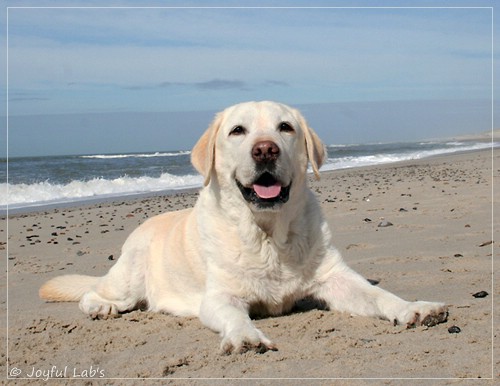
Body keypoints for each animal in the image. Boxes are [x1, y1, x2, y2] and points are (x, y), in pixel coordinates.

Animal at [38, 100, 446, 352]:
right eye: (238, 131)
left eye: (285, 127)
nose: (265, 149)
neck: (267, 235)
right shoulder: (220, 296)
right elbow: (234, 315)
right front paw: (244, 335)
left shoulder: (336, 279)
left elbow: (380, 296)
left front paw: (414, 308)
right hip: (129, 279)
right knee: (94, 292)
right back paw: (100, 308)